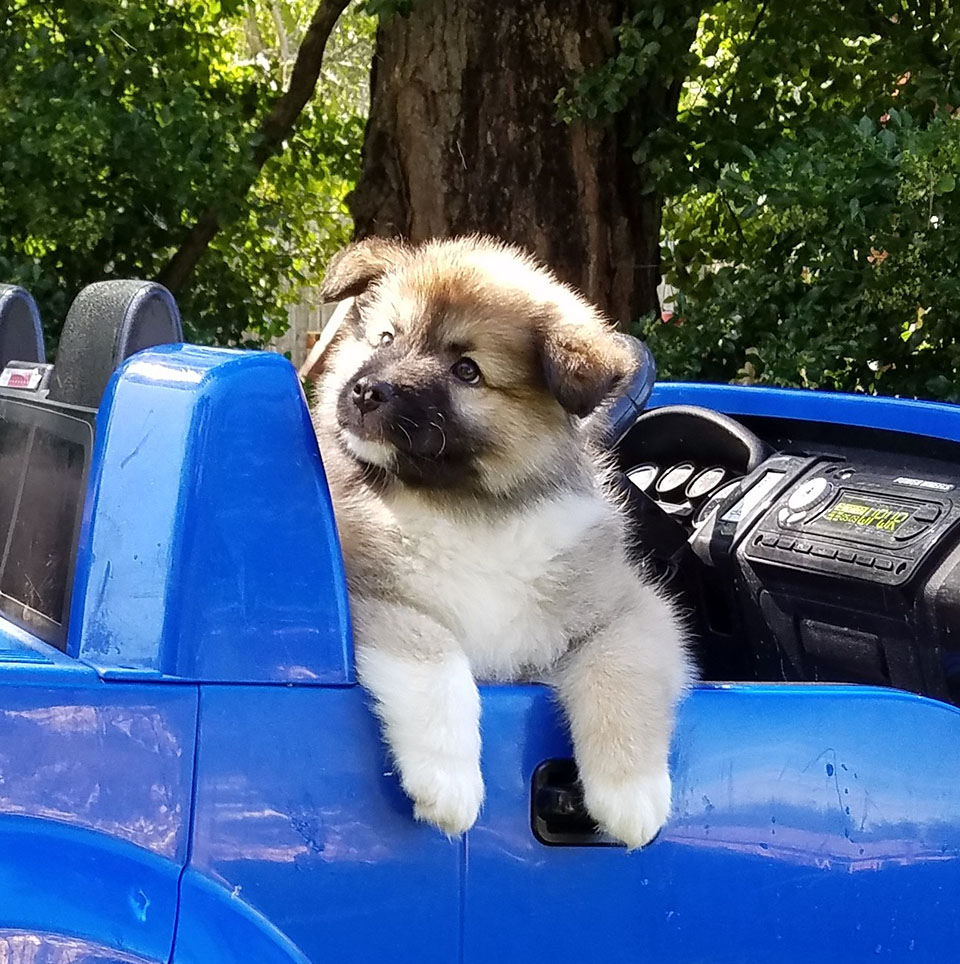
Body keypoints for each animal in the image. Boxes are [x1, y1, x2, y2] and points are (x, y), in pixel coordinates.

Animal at [314, 237, 688, 848]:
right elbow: (435, 652)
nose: (368, 391)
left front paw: (631, 793)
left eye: (466, 370)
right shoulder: (370, 596)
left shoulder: (631, 611)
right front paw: (448, 780)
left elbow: (623, 670)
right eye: (387, 338)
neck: (467, 510)